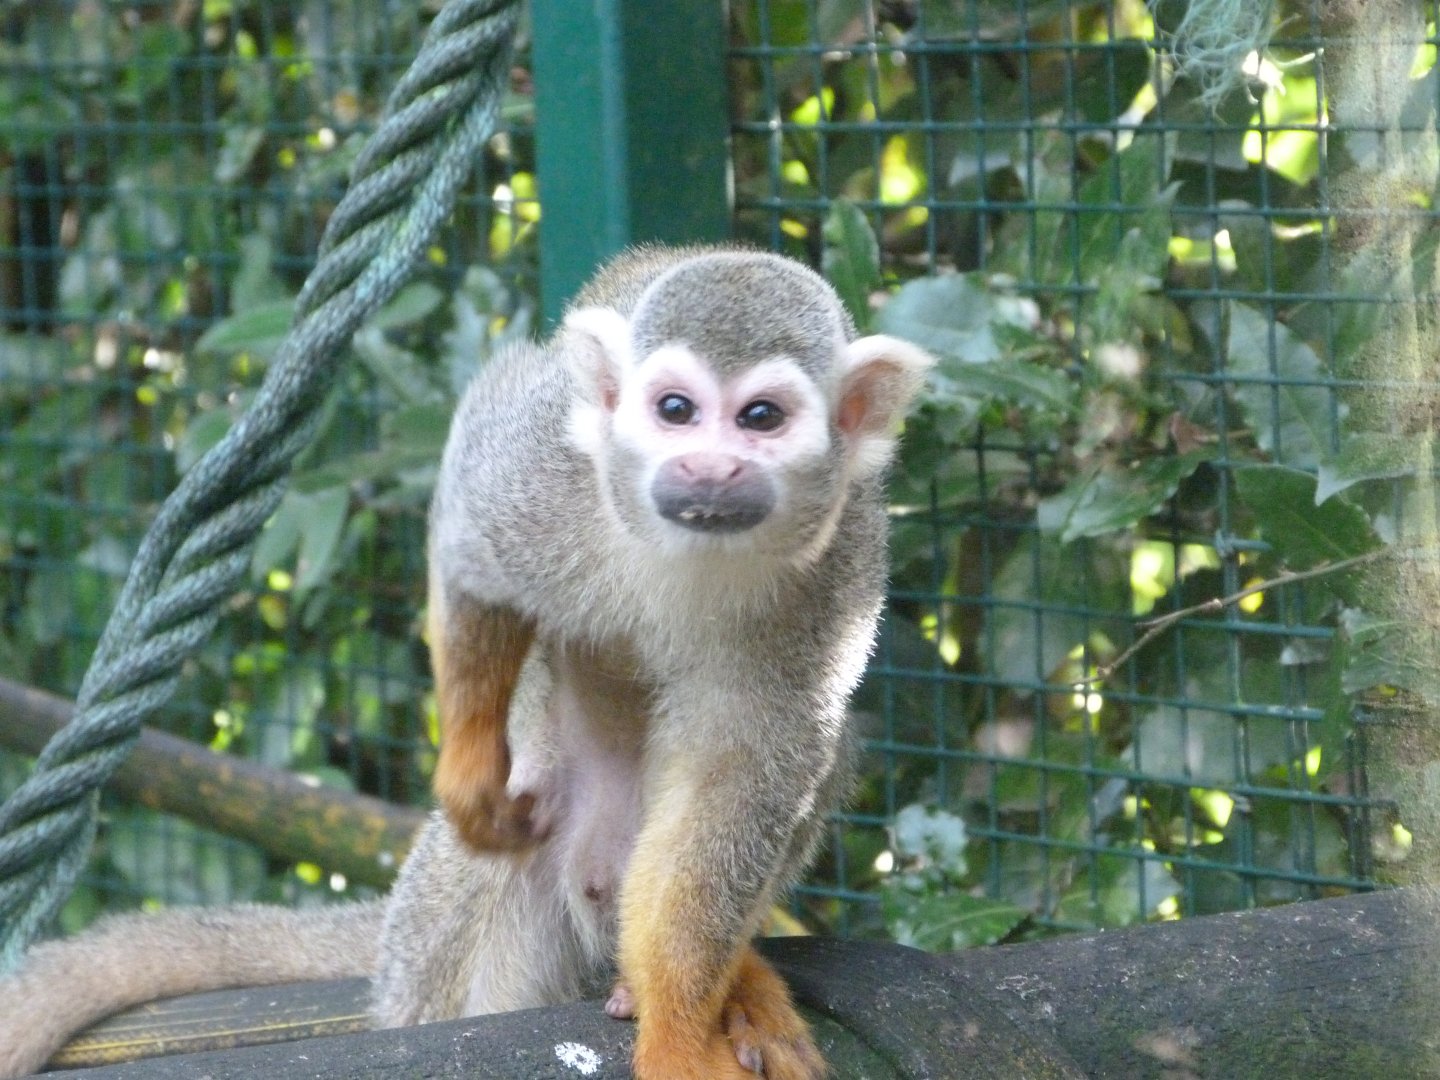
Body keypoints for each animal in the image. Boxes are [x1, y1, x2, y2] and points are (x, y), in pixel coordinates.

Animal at [0, 246, 932, 1080]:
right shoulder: (548, 469)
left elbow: (744, 765)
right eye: (676, 408)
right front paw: (472, 767)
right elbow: (470, 536)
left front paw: (676, 1019)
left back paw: (727, 979)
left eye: (761, 419)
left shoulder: (842, 564)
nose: (709, 467)